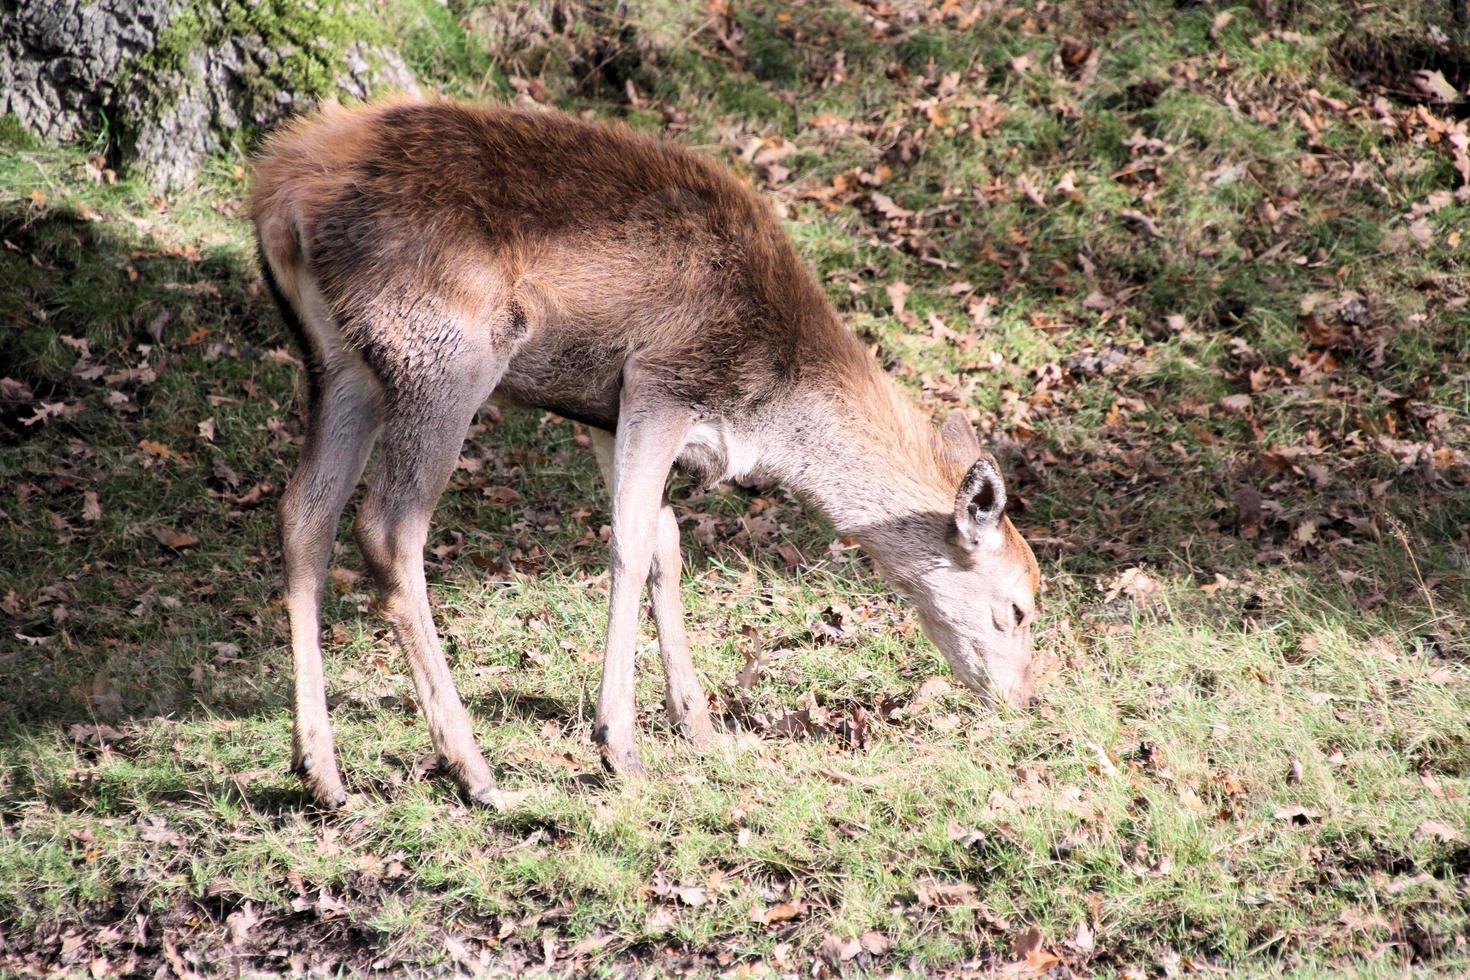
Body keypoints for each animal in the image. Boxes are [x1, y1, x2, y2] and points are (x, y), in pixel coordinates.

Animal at [252, 95, 1040, 811]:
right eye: (1019, 608)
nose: (1022, 701)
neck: (771, 399)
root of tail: (277, 198)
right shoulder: (662, 380)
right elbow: (629, 545)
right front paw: (619, 747)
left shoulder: (606, 410)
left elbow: (667, 542)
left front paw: (700, 726)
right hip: (442, 357)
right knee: (389, 528)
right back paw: (472, 770)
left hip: (339, 364)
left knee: (303, 513)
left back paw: (319, 771)